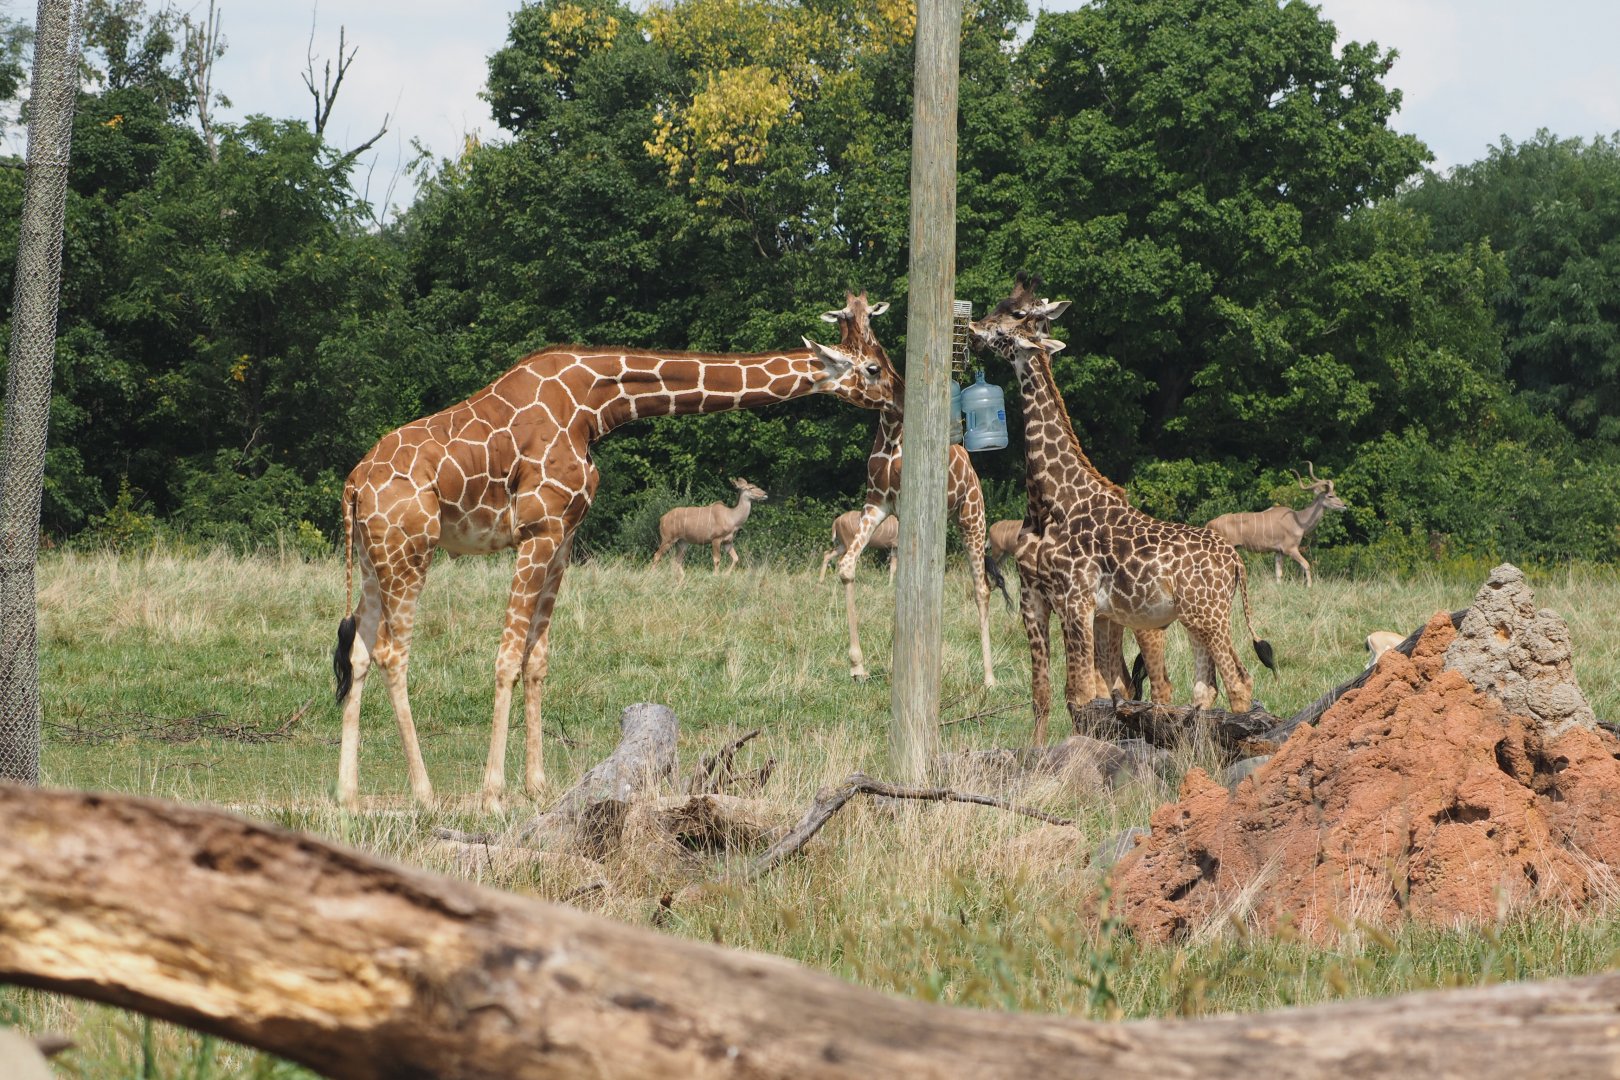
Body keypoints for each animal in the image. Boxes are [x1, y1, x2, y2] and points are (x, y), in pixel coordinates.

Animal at [332, 301, 897, 811]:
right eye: (872, 367)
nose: (896, 395)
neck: (595, 405)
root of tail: (354, 484)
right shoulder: (537, 530)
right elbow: (507, 658)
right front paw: (493, 794)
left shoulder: (562, 537)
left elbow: (537, 659)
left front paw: (536, 787)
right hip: (410, 550)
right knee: (392, 653)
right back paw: (424, 794)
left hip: (372, 559)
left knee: (359, 651)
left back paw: (349, 795)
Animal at [830, 297, 1009, 688]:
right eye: (841, 319)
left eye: (870, 317)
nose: (853, 350)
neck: (892, 430)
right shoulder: (878, 503)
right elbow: (848, 566)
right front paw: (858, 665)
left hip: (972, 516)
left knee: (981, 588)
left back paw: (989, 678)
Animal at [971, 274, 1274, 741]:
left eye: (1015, 317)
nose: (974, 330)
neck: (1053, 500)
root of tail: (1236, 562)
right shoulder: (1037, 597)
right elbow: (1047, 694)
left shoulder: (1076, 600)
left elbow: (1081, 693)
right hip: (1194, 620)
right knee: (1204, 688)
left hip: (1207, 615)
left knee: (1236, 681)